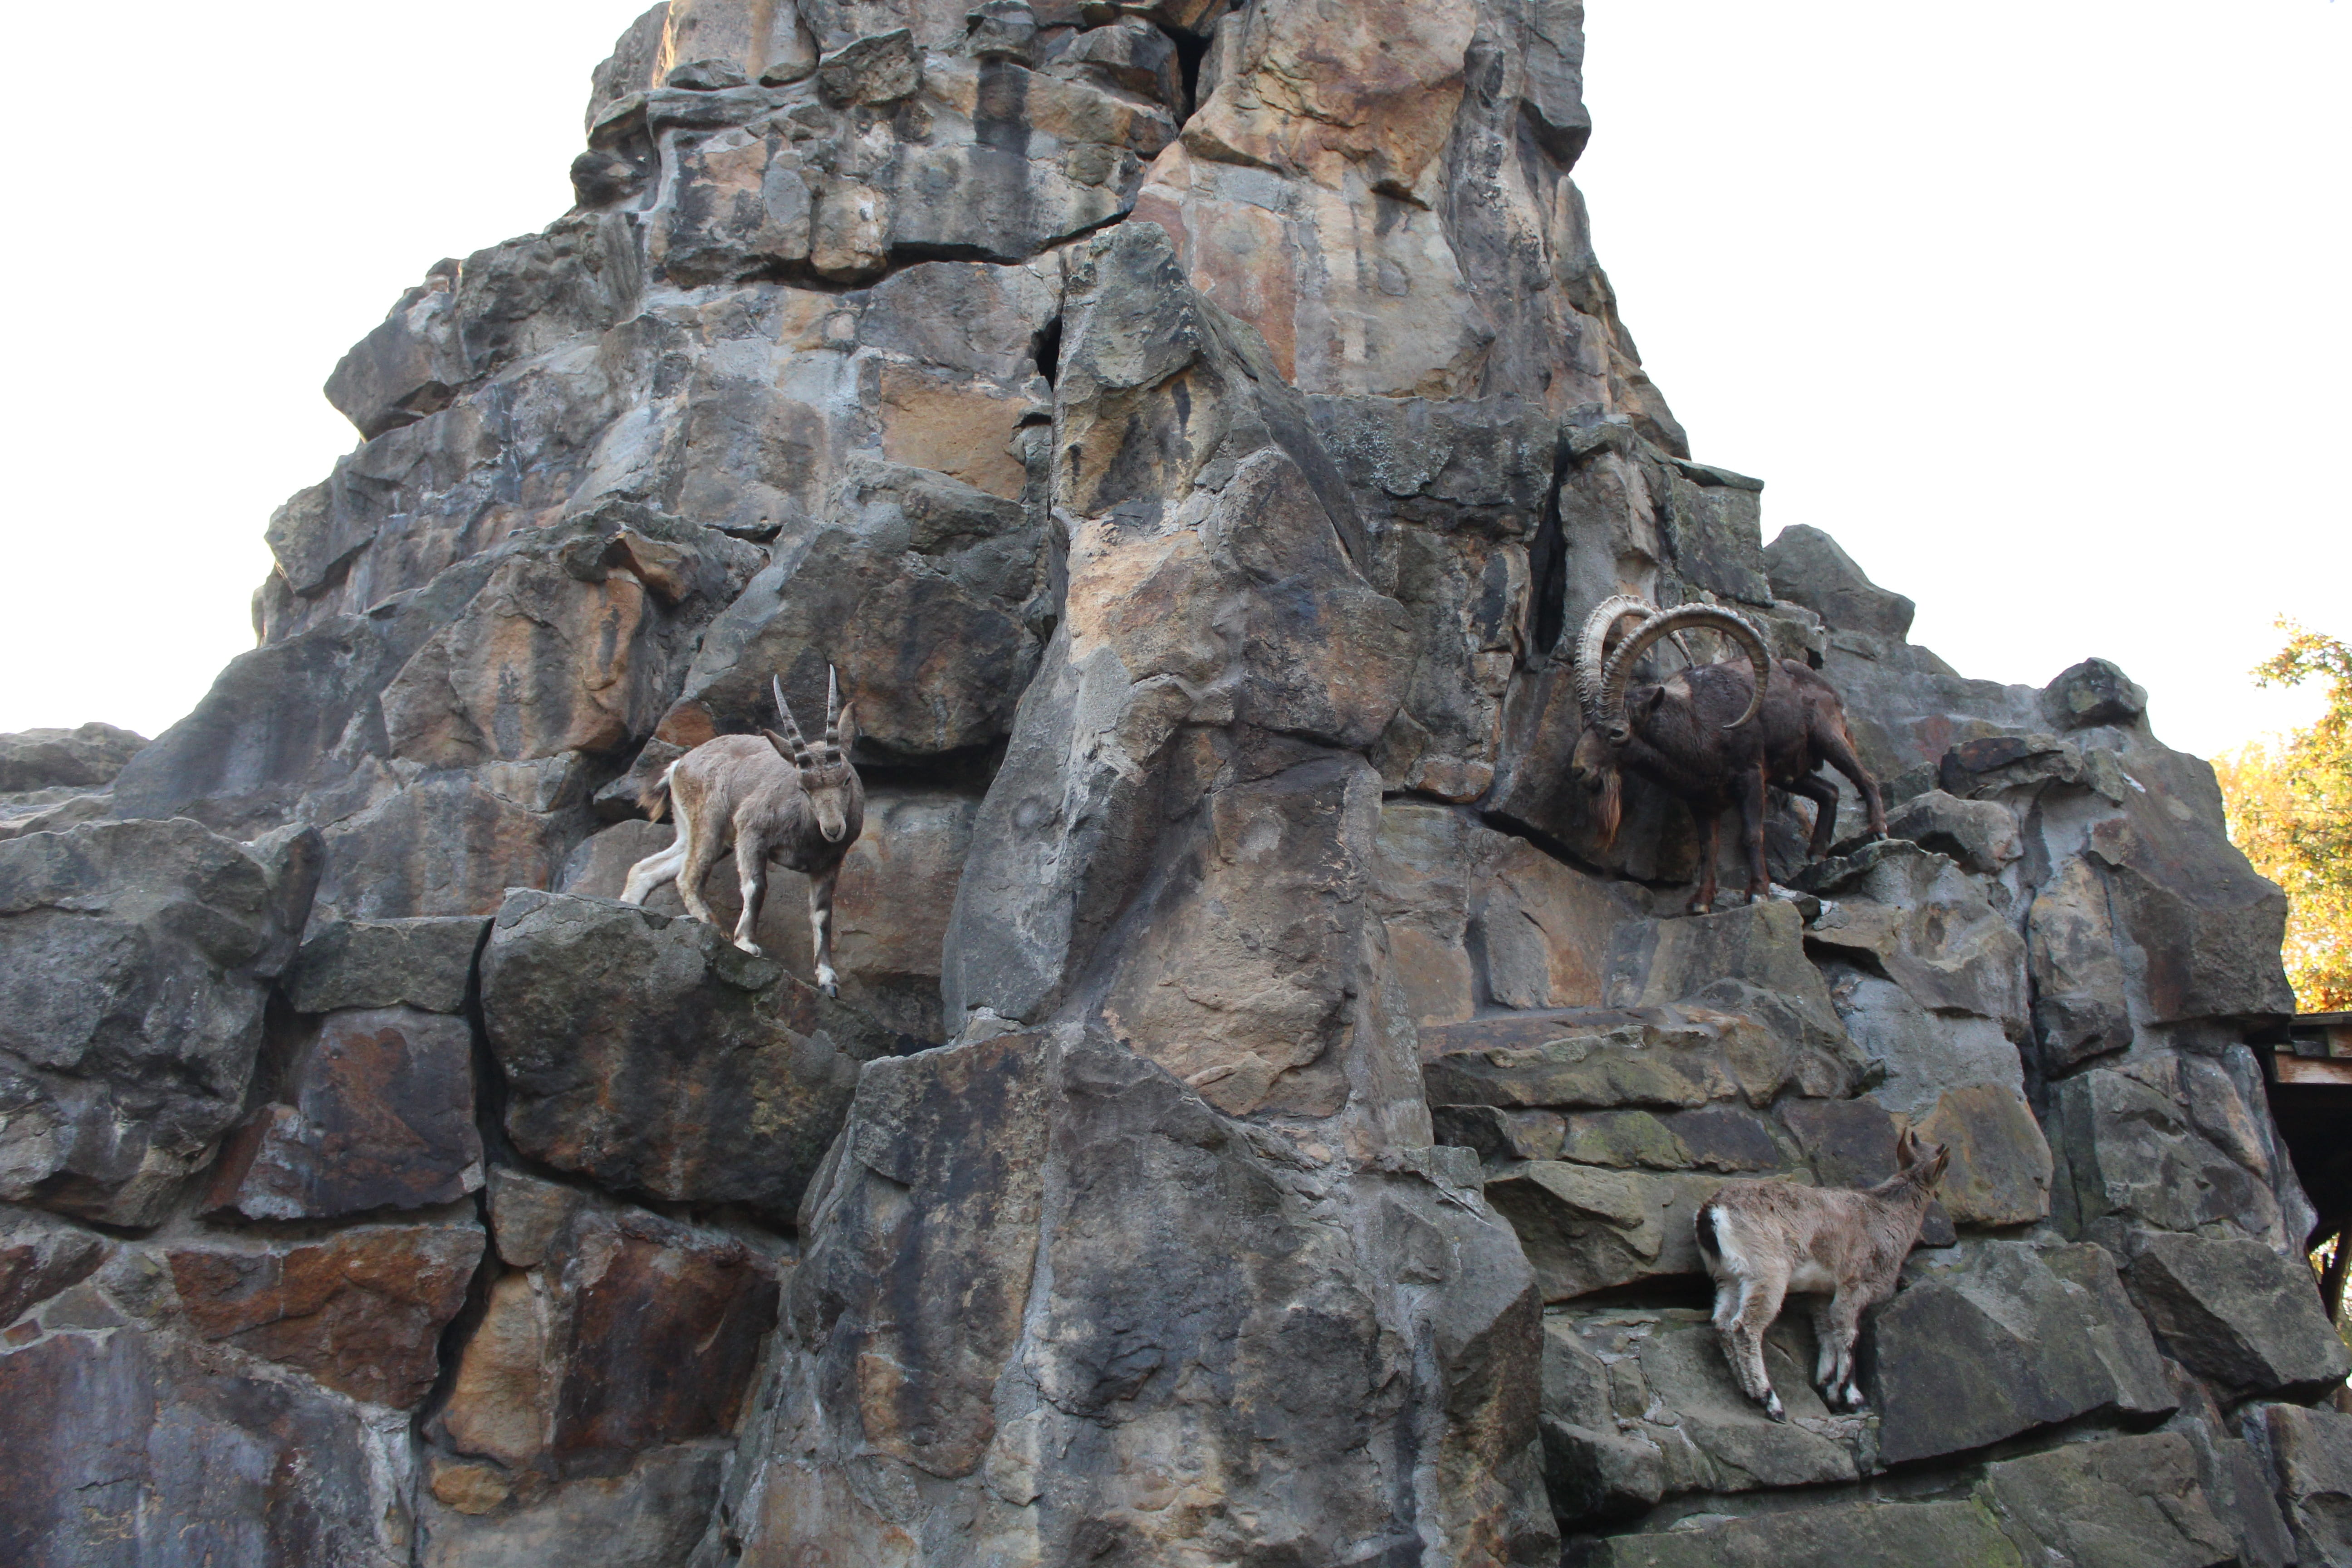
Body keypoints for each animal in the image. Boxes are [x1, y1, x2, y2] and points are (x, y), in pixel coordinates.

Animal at [620, 671, 865, 994]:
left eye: (847, 779)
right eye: (803, 788)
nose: (834, 829)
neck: (810, 834)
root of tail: (676, 767)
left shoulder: (829, 863)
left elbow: (823, 913)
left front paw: (828, 979)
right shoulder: (751, 832)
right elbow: (755, 887)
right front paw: (747, 943)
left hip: (704, 834)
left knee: (646, 869)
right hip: (710, 823)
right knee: (687, 876)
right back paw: (717, 929)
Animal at [1568, 595, 1887, 913]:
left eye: (1617, 732)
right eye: (1585, 726)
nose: (1579, 770)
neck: (1697, 724)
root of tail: (1830, 690)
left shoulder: (1750, 776)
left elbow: (1752, 835)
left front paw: (1758, 893)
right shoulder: (1701, 800)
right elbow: (1708, 849)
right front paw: (1701, 902)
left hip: (1828, 736)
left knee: (1865, 778)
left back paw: (1879, 831)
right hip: (1789, 774)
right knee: (1830, 791)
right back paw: (1817, 853)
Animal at [1693, 1128, 1950, 1419]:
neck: (1886, 1215)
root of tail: (1712, 1212)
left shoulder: (1821, 1292)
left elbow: (1826, 1331)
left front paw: (1828, 1389)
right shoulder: (1855, 1284)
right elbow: (1848, 1334)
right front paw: (1853, 1398)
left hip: (1727, 1278)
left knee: (1723, 1323)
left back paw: (1750, 1392)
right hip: (1767, 1273)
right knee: (1745, 1327)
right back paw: (1771, 1401)